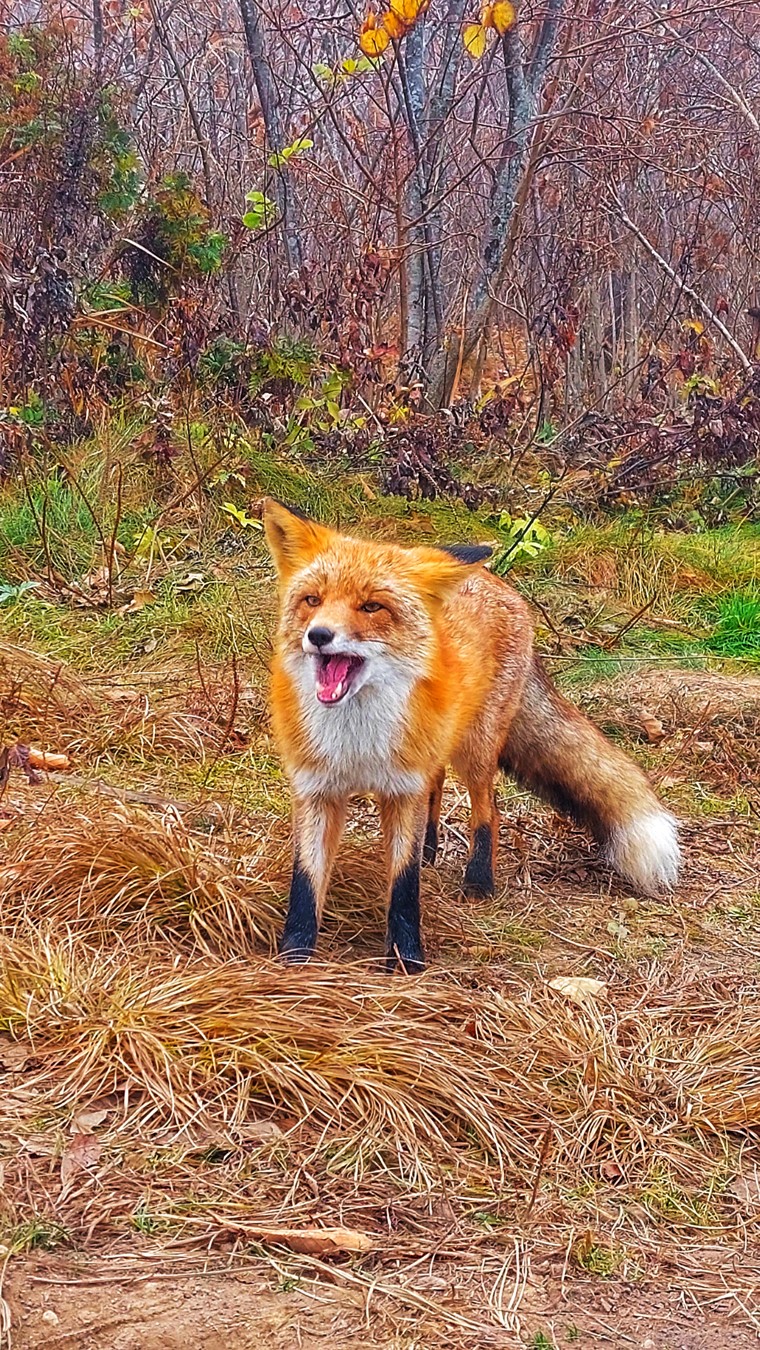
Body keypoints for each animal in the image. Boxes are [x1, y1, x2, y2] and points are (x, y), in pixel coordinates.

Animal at [264, 499, 680, 972]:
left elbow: (403, 887)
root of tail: (499, 584)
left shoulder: (401, 789)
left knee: (488, 809)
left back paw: (479, 880)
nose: (318, 635)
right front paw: (294, 959)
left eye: (371, 607)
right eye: (312, 601)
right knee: (437, 784)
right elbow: (305, 883)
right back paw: (430, 849)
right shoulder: (316, 790)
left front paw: (406, 959)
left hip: (475, 749)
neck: (357, 743)